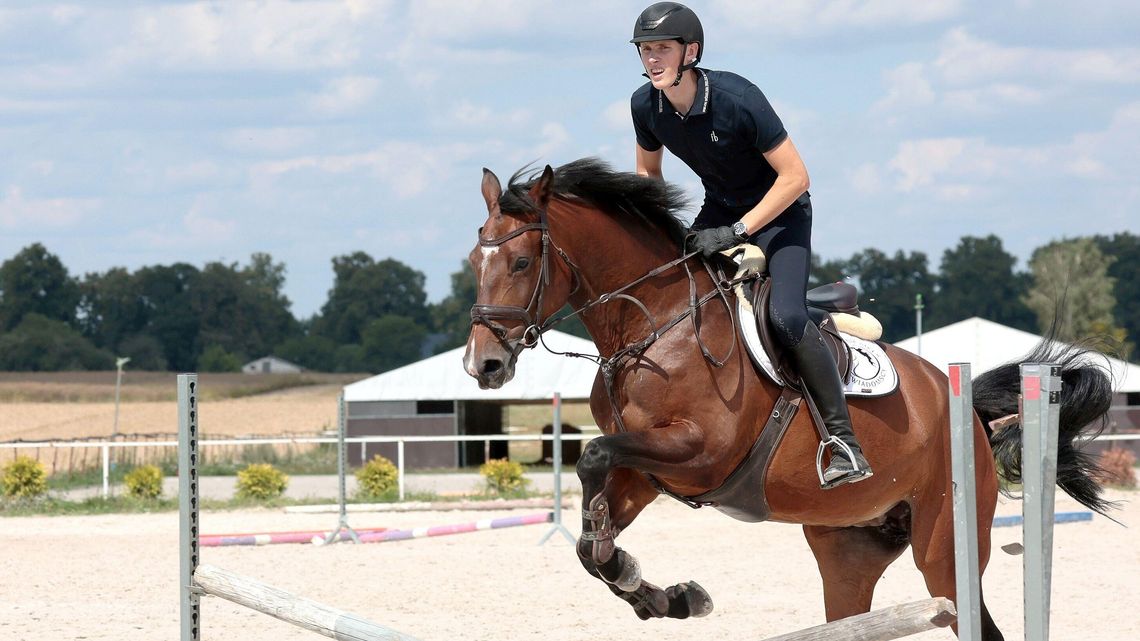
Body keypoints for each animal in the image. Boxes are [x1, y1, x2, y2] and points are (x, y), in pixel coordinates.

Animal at [462, 158, 1113, 640]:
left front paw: (657, 587)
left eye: (521, 262)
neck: (653, 328)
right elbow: (590, 537)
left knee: (967, 611)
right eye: (474, 260)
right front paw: (663, 593)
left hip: (944, 546)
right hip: (849, 548)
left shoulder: (700, 452)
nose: (483, 365)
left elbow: (595, 453)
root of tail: (964, 409)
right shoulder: (647, 471)